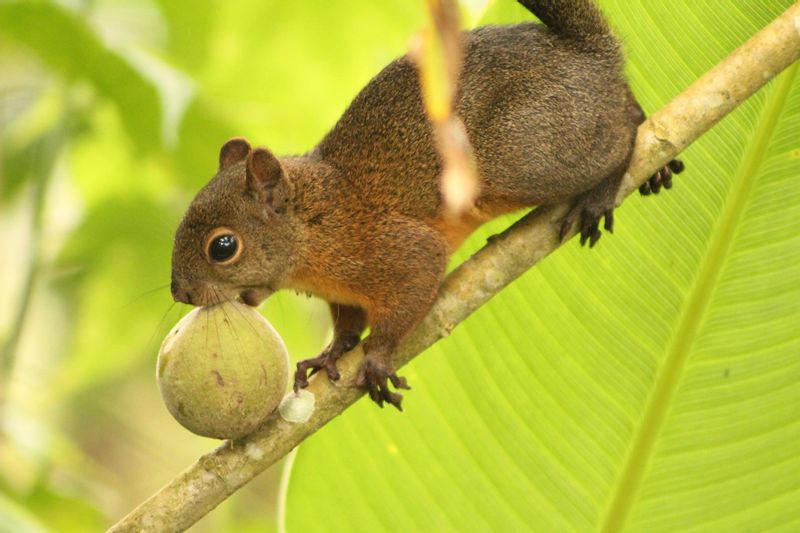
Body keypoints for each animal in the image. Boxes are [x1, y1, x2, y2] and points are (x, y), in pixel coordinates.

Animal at [169, 0, 680, 410]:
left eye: (223, 247)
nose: (180, 293)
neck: (319, 218)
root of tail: (591, 53)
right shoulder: (343, 294)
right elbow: (348, 326)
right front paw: (330, 355)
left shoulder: (396, 250)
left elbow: (408, 297)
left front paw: (377, 358)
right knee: (625, 110)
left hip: (526, 156)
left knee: (619, 140)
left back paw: (601, 190)